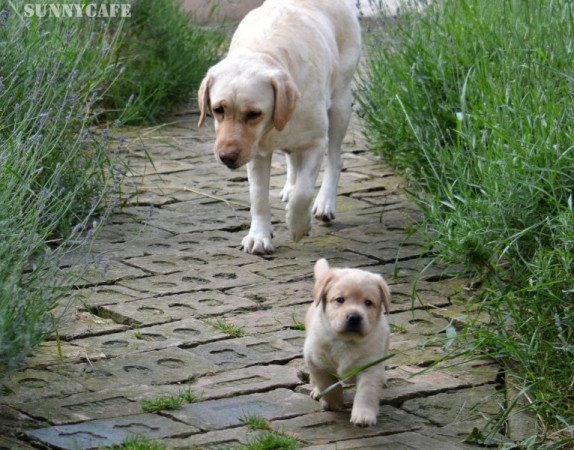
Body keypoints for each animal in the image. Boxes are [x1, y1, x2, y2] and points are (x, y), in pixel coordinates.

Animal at [198, 0, 360, 253]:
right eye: (218, 109)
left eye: (254, 114)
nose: (226, 157)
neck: (265, 52)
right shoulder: (255, 153)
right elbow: (258, 196)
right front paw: (259, 236)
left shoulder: (316, 142)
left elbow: (304, 192)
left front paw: (298, 225)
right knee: (293, 158)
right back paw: (289, 187)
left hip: (340, 105)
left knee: (335, 159)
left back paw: (325, 202)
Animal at [306, 258, 392, 428]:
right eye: (340, 300)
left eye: (368, 302)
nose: (354, 317)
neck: (346, 342)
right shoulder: (315, 358)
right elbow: (325, 381)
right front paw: (333, 402)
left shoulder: (370, 365)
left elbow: (367, 391)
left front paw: (364, 415)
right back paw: (317, 391)